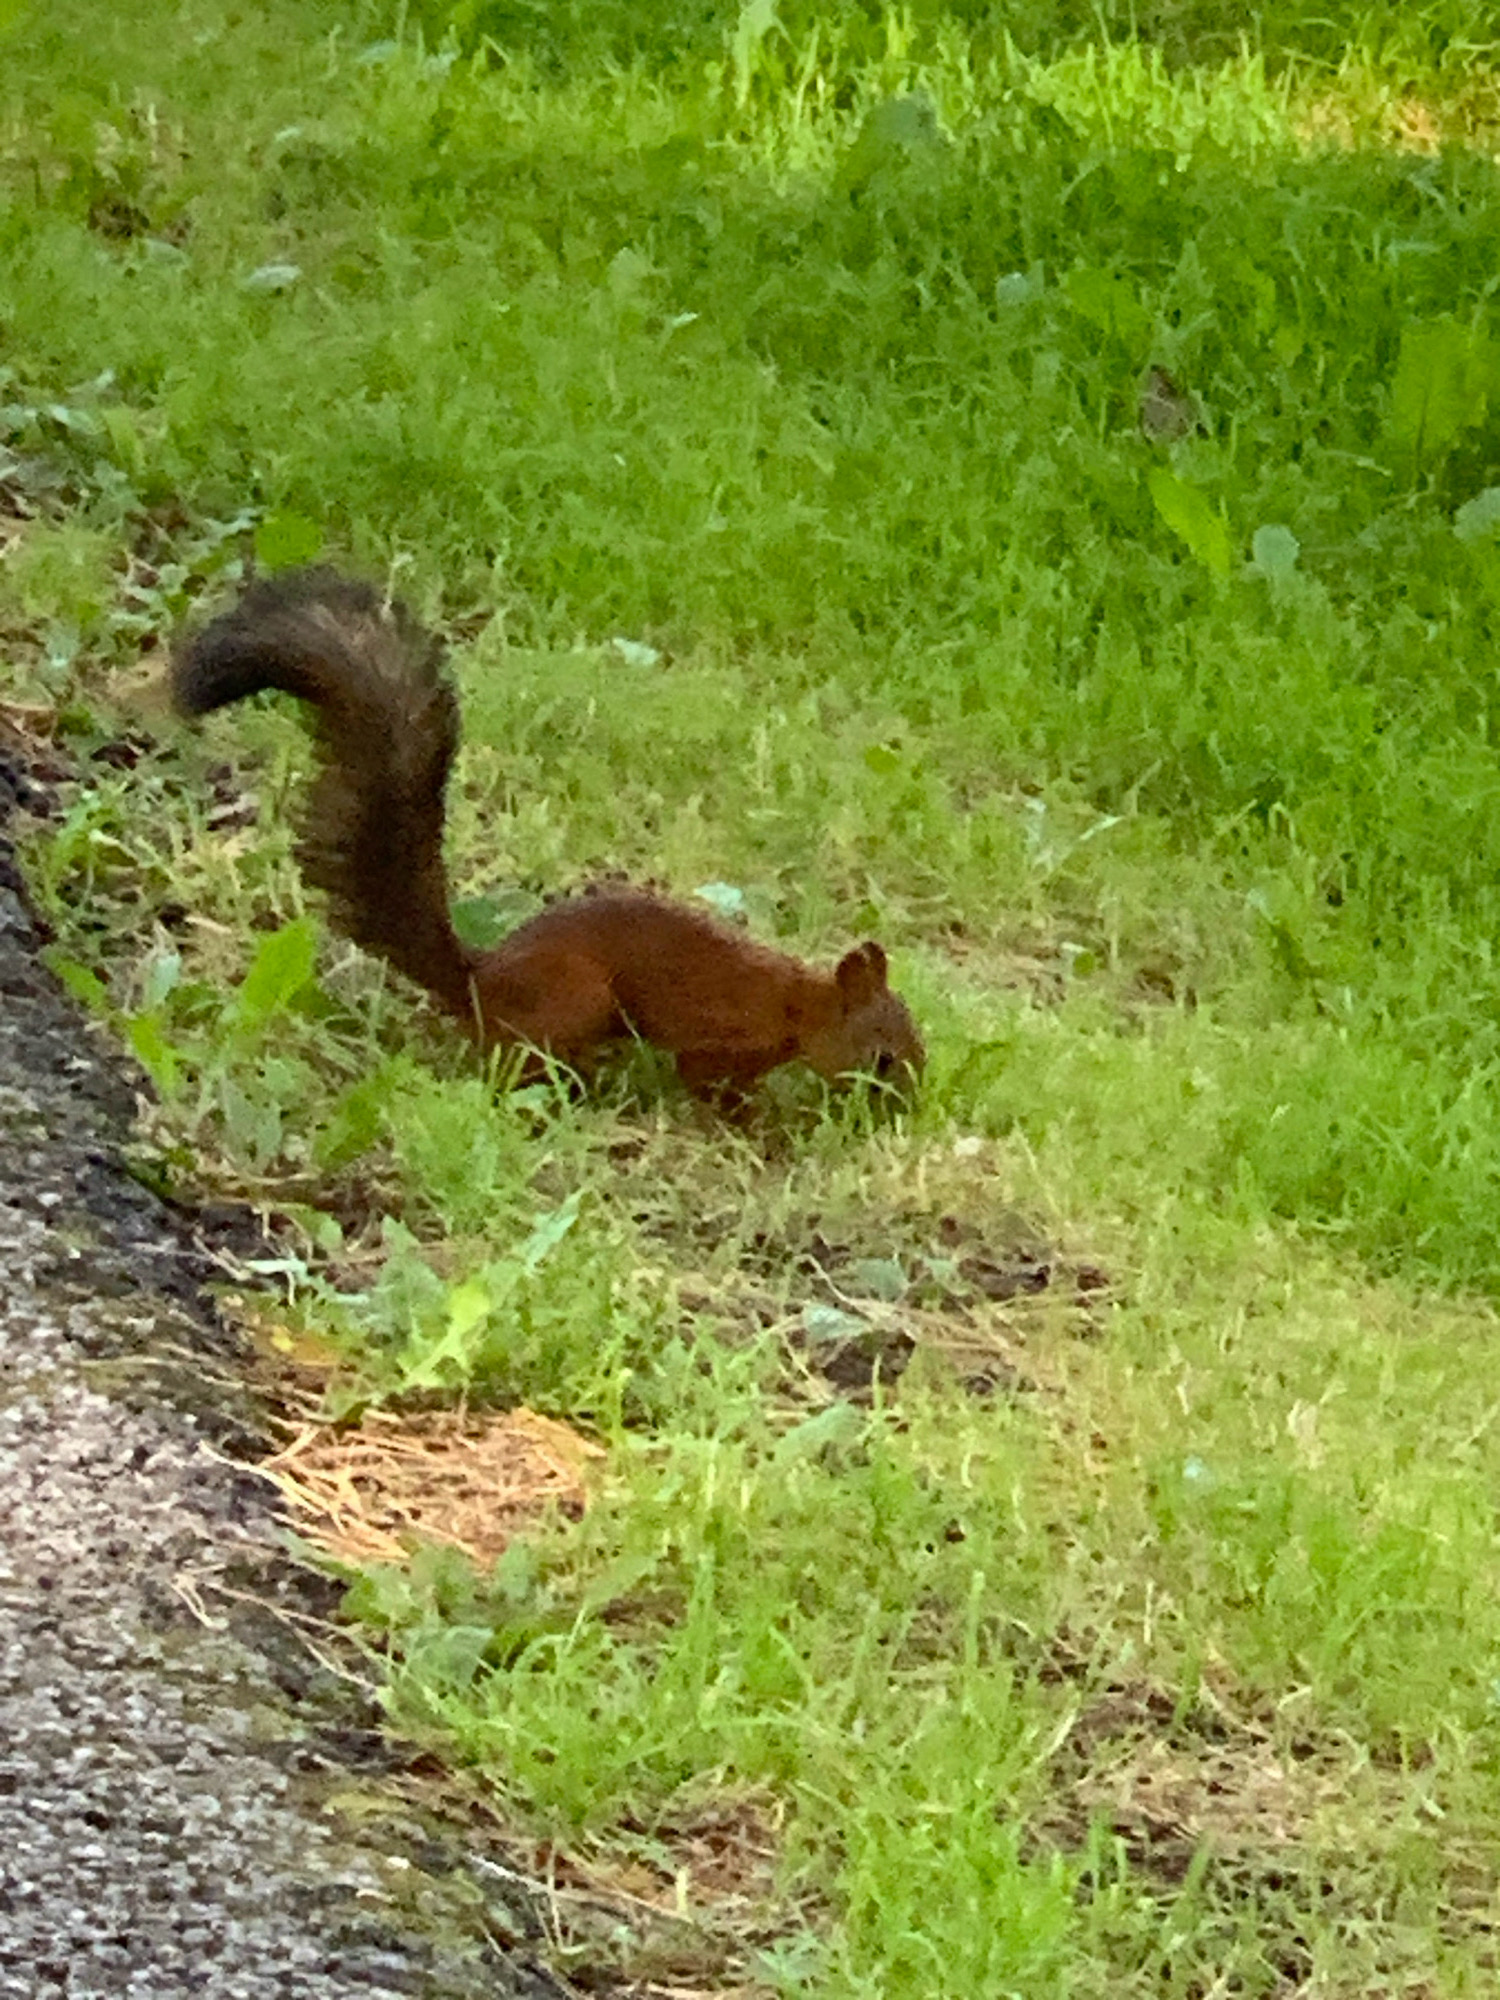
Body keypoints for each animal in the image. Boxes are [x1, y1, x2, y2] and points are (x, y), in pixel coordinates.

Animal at [170, 567, 924, 1100]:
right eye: (884, 1058)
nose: (911, 1101)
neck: (798, 1004)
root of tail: (478, 985)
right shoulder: (719, 1039)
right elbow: (705, 1081)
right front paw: (751, 1123)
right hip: (574, 1002)